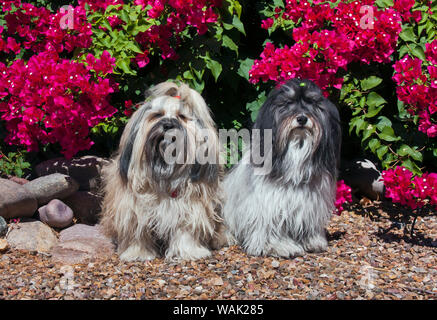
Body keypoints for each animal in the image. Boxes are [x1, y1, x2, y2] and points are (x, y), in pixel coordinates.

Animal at [221, 79, 340, 258]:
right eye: (288, 103)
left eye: (311, 103)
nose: (302, 118)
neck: (295, 151)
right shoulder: (269, 205)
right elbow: (270, 228)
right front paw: (279, 246)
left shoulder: (309, 203)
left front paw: (312, 240)